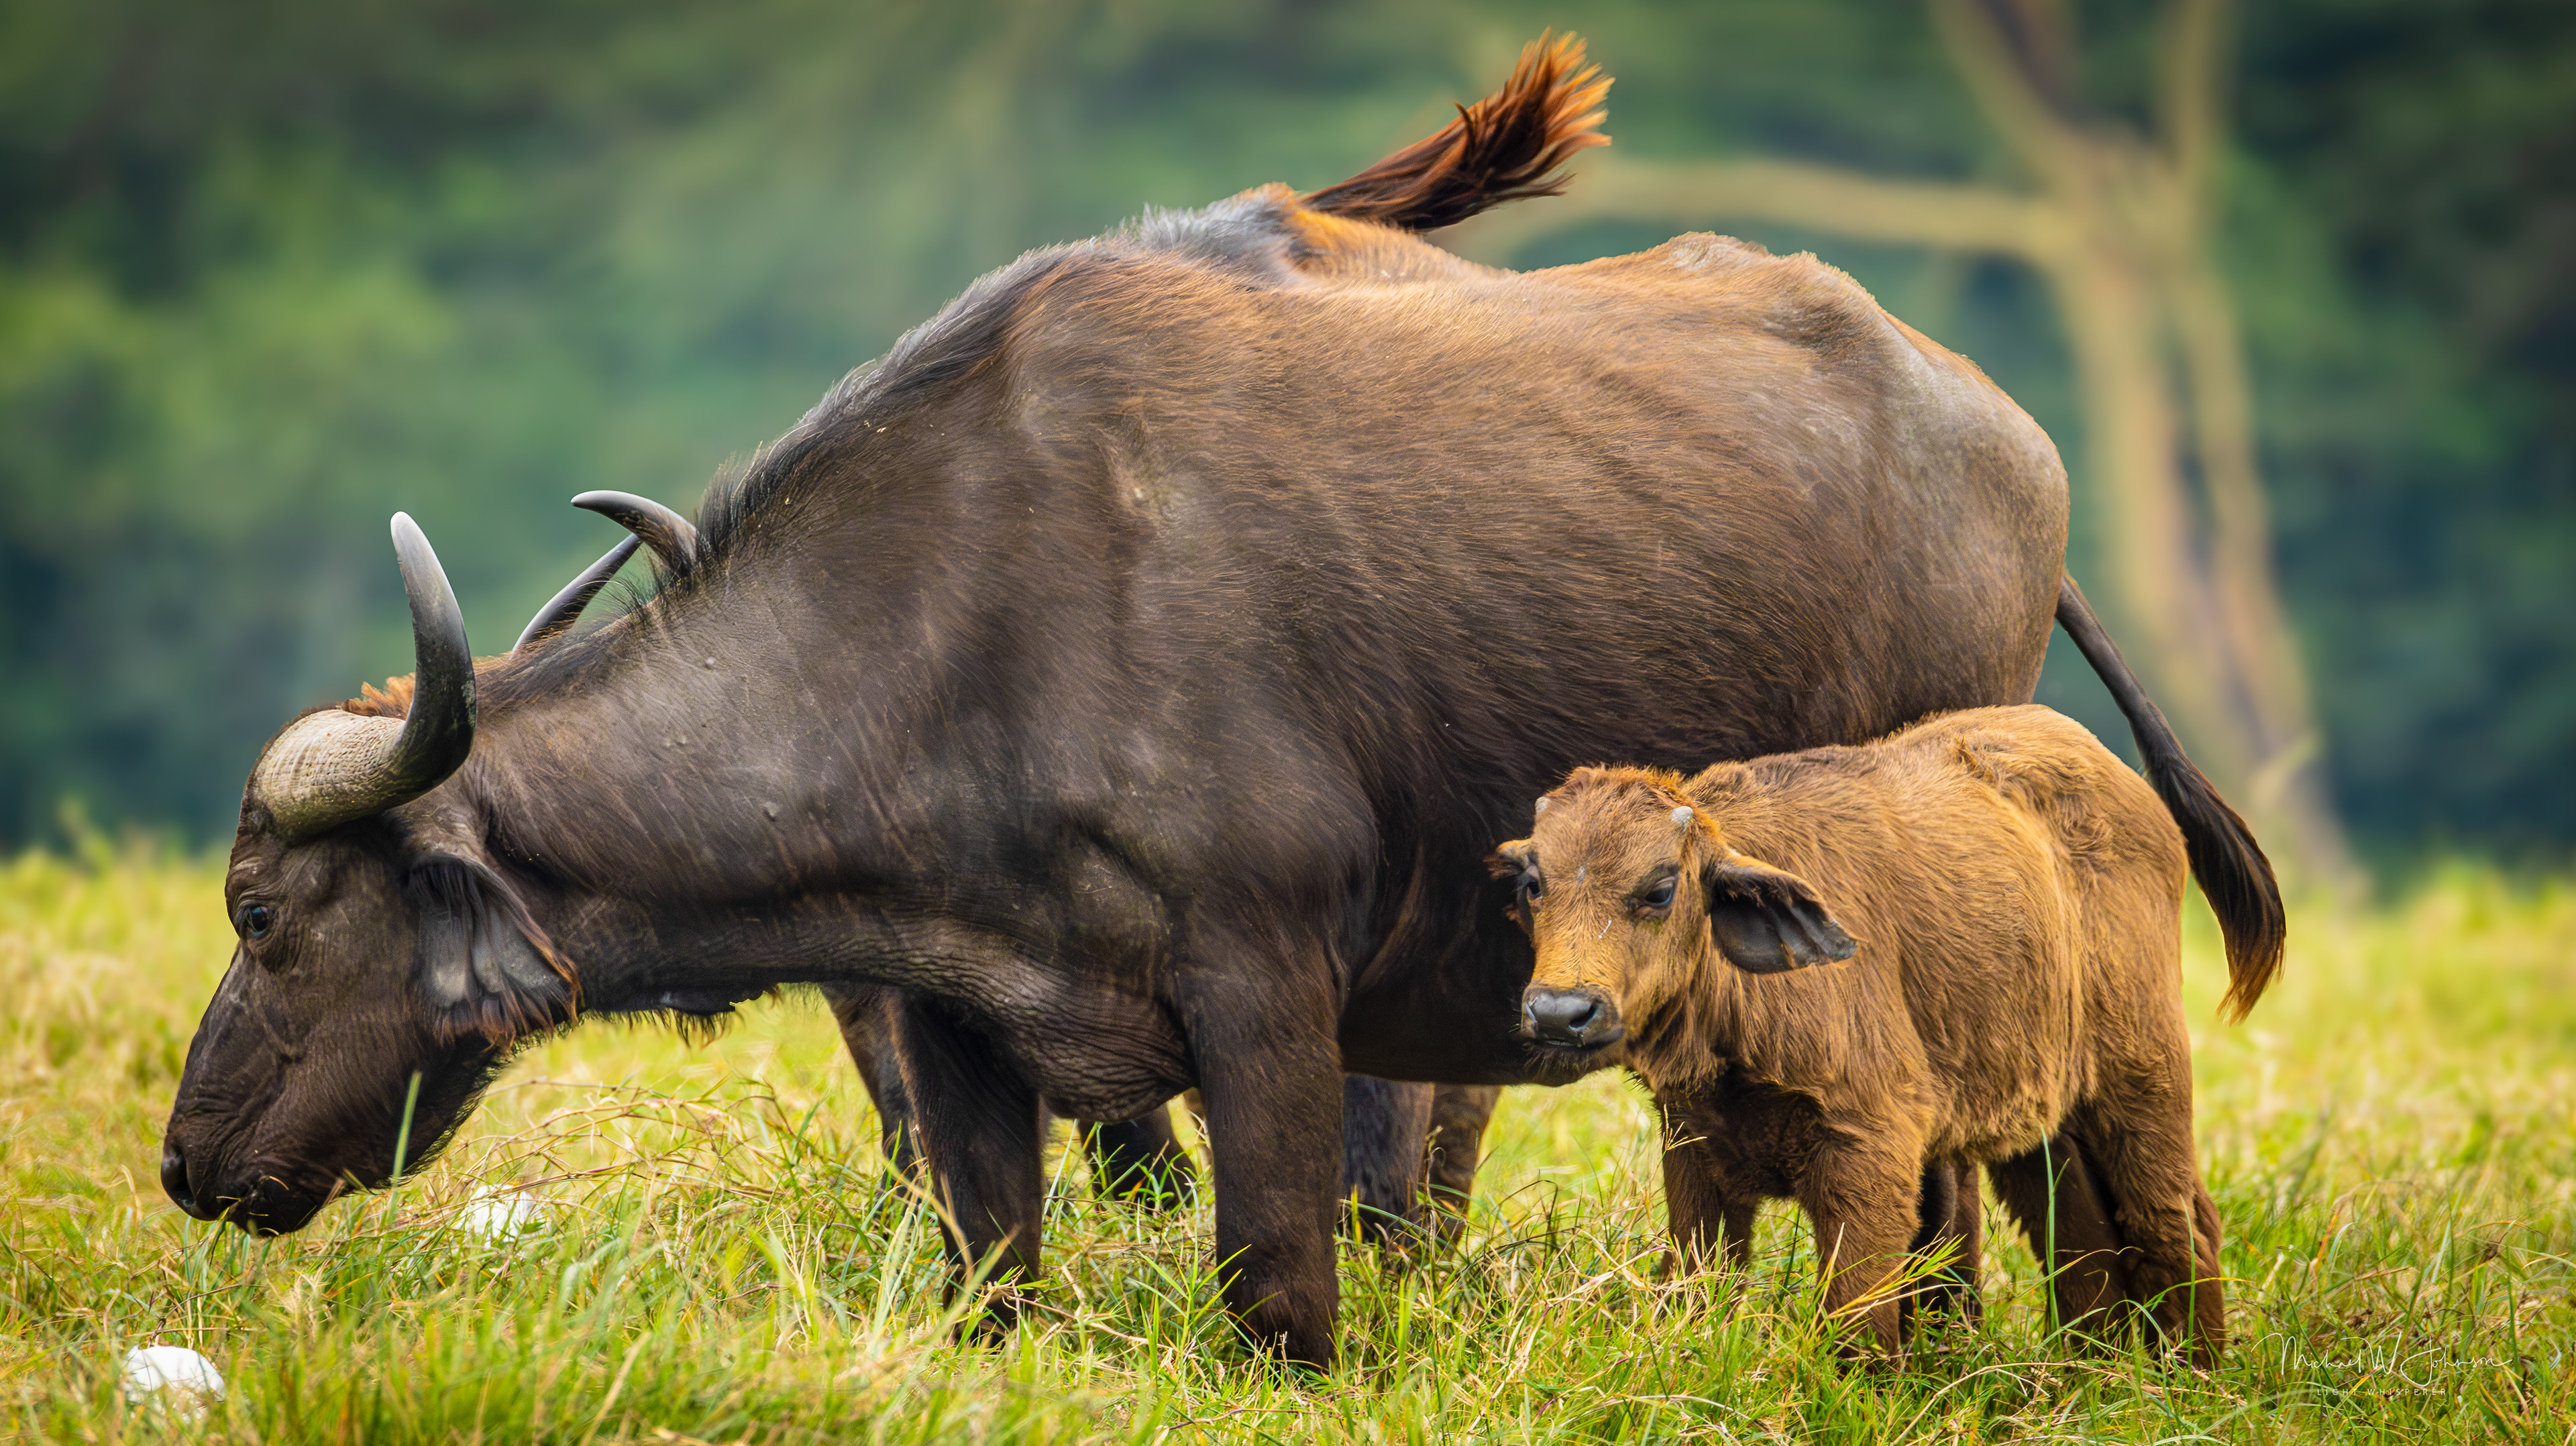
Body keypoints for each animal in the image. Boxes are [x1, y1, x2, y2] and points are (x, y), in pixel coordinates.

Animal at [161, 36, 2279, 1368]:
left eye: (264, 912)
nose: (187, 1160)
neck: (968, 623)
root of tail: (1999, 435)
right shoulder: (960, 1021)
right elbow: (993, 1277)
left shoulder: (1272, 998)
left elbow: (1283, 1287)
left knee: (1966, 1205)